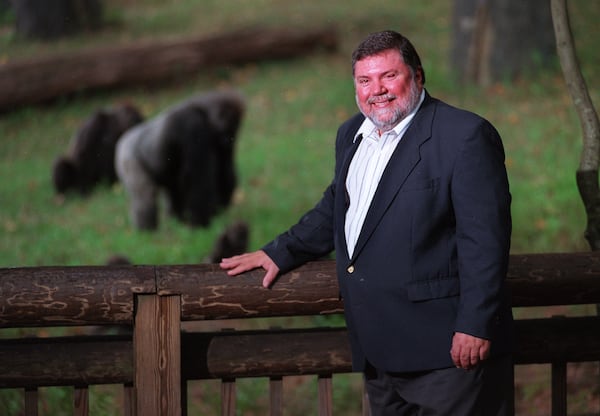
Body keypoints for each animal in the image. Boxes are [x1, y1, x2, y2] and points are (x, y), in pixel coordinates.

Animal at [115, 90, 246, 231]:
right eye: (227, 130)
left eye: (234, 130)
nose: (228, 142)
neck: (202, 110)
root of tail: (122, 141)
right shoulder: (193, 126)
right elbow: (198, 179)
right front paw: (201, 223)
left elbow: (224, 169)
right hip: (127, 158)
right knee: (145, 197)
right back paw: (147, 231)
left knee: (172, 190)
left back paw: (176, 221)